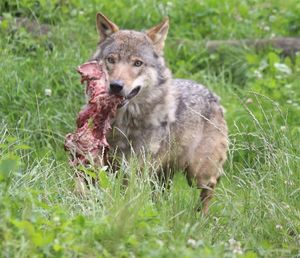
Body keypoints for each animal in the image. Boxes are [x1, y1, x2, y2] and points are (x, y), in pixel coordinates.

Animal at [90, 12, 229, 214]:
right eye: (111, 60)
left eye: (137, 63)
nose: (116, 86)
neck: (125, 123)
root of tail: (213, 96)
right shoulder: (105, 164)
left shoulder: (135, 169)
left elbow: (126, 198)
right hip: (163, 175)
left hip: (197, 174)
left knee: (209, 190)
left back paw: (201, 218)